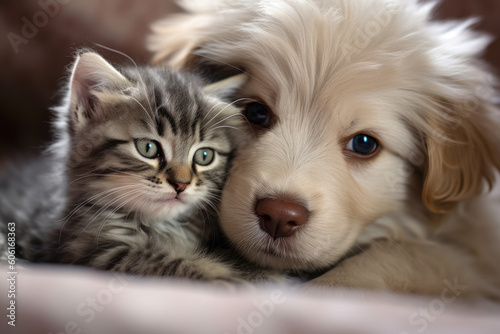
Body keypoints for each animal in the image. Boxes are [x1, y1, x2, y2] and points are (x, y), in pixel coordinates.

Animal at [0, 51, 256, 284]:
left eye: (204, 156)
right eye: (148, 148)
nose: (181, 184)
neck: (160, 227)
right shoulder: (87, 252)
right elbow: (158, 260)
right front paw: (223, 277)